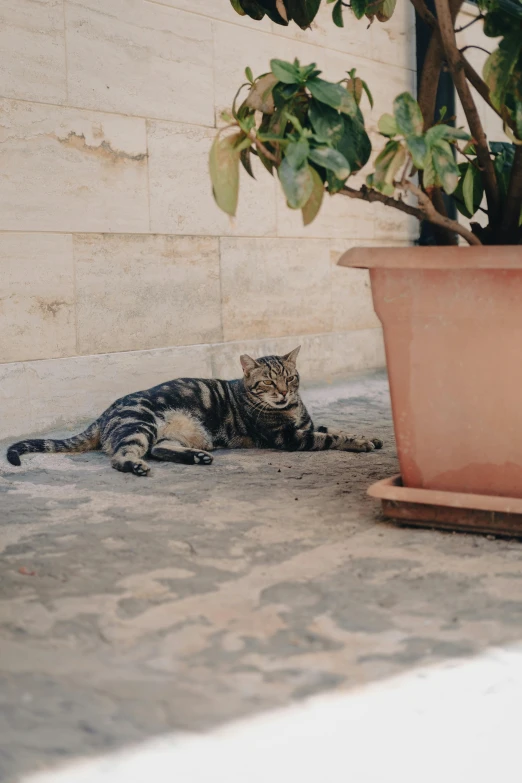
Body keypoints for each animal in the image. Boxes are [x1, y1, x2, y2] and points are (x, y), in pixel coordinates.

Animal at [6, 350, 380, 478]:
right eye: (268, 381)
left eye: (289, 377)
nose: (284, 392)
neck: (291, 409)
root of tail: (104, 413)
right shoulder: (290, 437)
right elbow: (330, 436)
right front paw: (359, 442)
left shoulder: (306, 424)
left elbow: (332, 426)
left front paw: (370, 437)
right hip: (140, 425)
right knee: (123, 456)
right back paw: (136, 466)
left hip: (177, 433)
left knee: (160, 449)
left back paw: (196, 457)